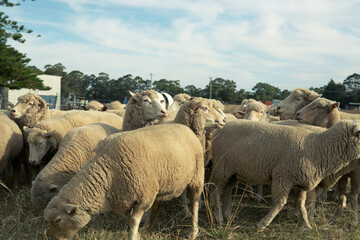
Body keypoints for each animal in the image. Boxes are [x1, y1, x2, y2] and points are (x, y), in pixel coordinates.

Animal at [43, 100, 224, 240]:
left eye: (58, 220)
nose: (223, 119)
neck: (108, 174)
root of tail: (185, 128)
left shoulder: (143, 197)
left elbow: (133, 222)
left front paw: (134, 235)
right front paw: (140, 233)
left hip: (196, 176)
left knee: (194, 202)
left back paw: (193, 231)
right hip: (162, 180)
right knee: (159, 203)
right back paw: (148, 227)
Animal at [210, 120, 360, 231]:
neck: (318, 148)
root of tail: (221, 128)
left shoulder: (299, 182)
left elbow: (302, 204)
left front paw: (306, 224)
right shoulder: (283, 177)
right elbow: (281, 203)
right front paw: (262, 224)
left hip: (232, 172)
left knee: (227, 190)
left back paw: (226, 214)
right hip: (221, 167)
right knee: (215, 190)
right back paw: (218, 217)